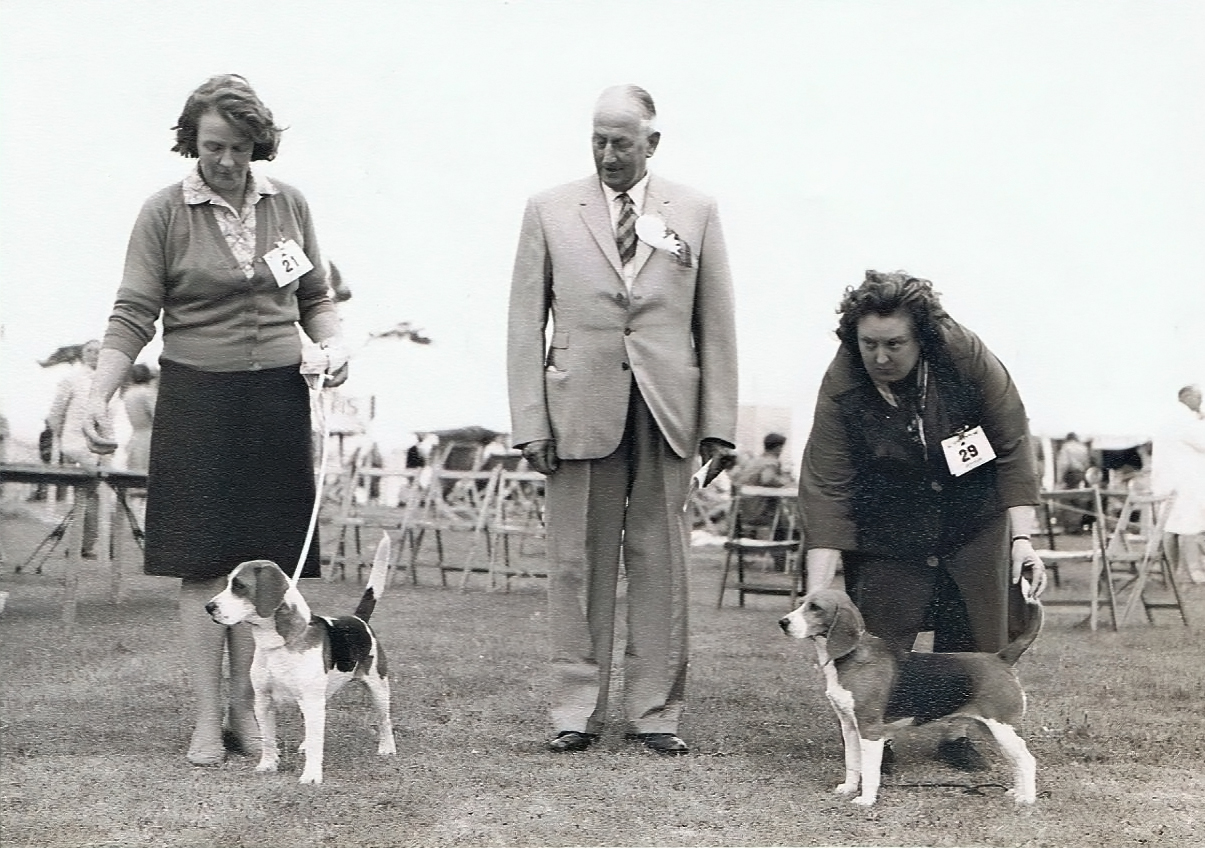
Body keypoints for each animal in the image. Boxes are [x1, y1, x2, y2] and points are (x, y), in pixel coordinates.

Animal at [206, 537, 395, 780]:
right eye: (228, 582)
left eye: (239, 586)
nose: (209, 607)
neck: (277, 644)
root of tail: (358, 619)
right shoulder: (263, 701)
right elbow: (268, 740)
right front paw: (267, 765)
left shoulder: (311, 700)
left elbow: (316, 743)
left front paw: (311, 776)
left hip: (378, 689)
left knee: (384, 720)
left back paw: (387, 748)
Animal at [776, 585, 1041, 804]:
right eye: (801, 602)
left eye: (815, 608)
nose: (783, 623)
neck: (850, 655)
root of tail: (1000, 658)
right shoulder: (849, 726)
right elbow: (853, 763)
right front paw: (848, 789)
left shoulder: (870, 730)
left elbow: (869, 770)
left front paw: (865, 800)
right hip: (993, 729)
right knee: (1016, 760)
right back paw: (1017, 792)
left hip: (1003, 728)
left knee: (1027, 760)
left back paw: (1027, 799)